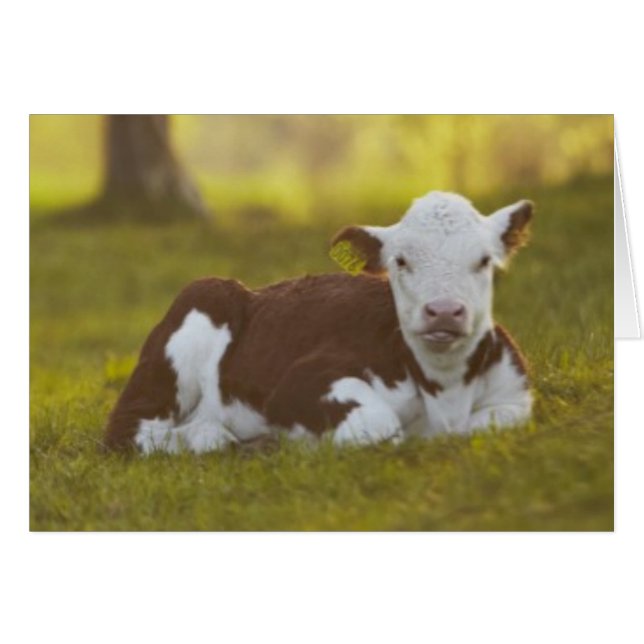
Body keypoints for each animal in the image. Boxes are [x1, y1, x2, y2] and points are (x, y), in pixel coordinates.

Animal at [104, 191, 533, 453]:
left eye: (484, 260)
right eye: (400, 261)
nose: (443, 311)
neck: (445, 393)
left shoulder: (516, 396)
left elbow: (495, 423)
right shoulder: (299, 382)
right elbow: (379, 425)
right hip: (193, 316)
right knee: (131, 431)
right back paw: (215, 437)